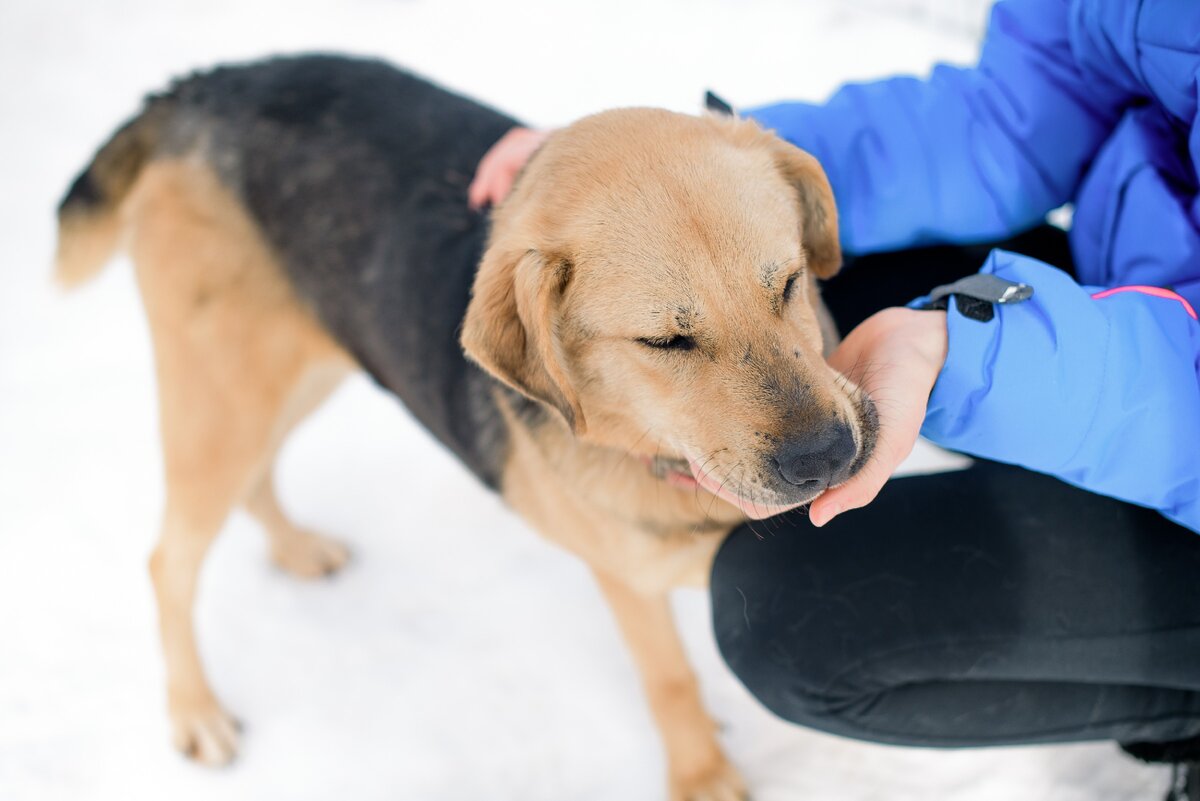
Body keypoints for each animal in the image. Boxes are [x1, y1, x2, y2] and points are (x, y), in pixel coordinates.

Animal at [56, 54, 878, 801]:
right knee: (168, 562)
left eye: (789, 283)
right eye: (665, 341)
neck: (654, 455)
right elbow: (668, 679)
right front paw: (702, 776)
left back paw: (295, 549)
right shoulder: (625, 582)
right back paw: (195, 711)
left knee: (255, 479)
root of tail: (204, 84)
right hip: (223, 396)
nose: (829, 458)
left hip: (295, 372)